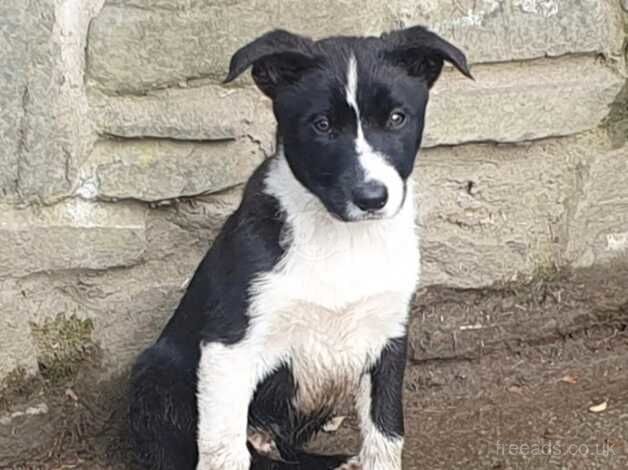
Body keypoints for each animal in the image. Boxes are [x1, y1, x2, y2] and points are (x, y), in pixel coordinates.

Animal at [129, 25, 472, 470]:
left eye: (397, 118)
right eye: (322, 125)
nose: (371, 198)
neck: (342, 236)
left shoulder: (389, 335)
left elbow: (385, 435)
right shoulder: (229, 346)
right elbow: (223, 449)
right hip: (155, 375)